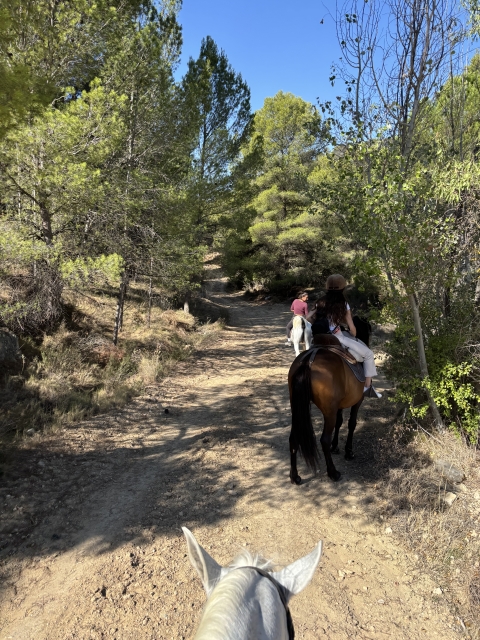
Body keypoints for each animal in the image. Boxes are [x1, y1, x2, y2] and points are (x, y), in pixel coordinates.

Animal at [288, 316, 371, 485]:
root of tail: (308, 360)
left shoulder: (339, 405)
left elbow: (340, 422)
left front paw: (335, 446)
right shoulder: (357, 401)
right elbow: (351, 423)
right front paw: (348, 452)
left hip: (297, 408)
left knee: (293, 438)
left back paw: (295, 476)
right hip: (328, 412)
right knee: (323, 440)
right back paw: (333, 472)